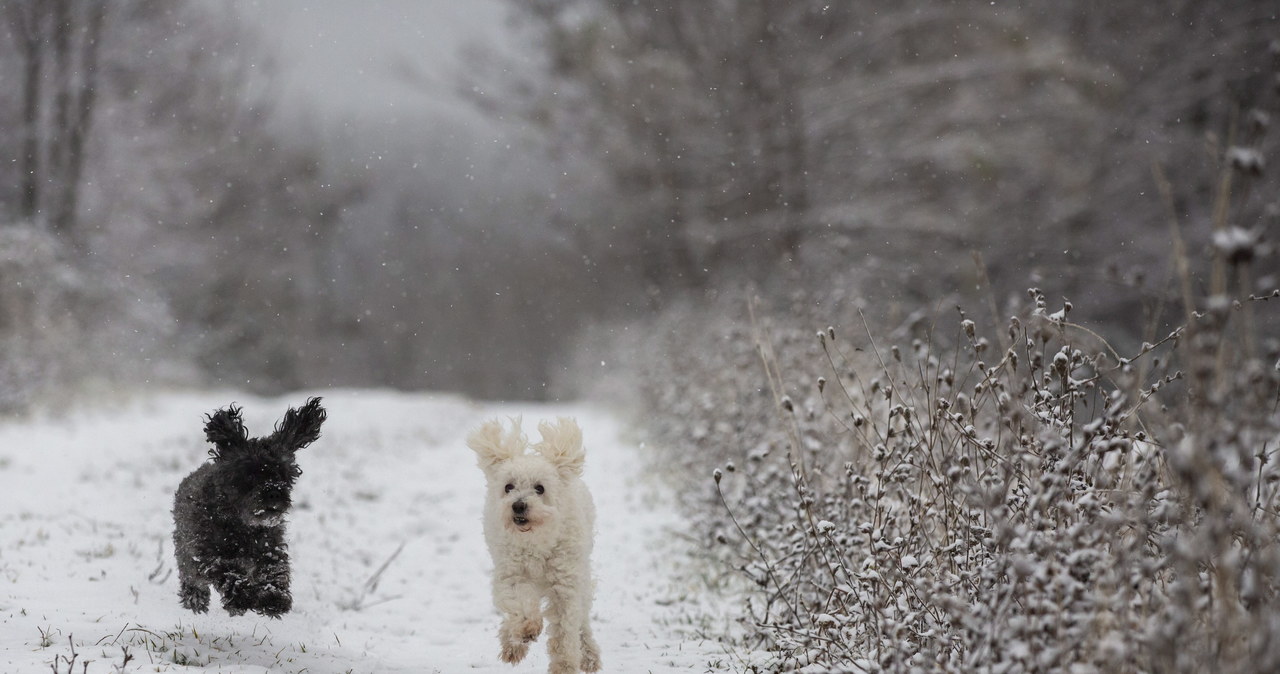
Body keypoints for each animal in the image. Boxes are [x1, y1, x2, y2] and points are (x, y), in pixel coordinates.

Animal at [172, 399, 327, 619]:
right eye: (249, 474)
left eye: (282, 473)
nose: (273, 493)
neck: (243, 526)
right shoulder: (209, 553)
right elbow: (228, 573)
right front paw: (243, 598)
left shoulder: (270, 545)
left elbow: (274, 569)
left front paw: (273, 598)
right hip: (186, 553)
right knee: (192, 578)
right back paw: (195, 601)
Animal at [465, 419, 599, 670]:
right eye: (508, 487)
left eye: (540, 488)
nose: (518, 505)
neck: (536, 539)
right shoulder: (512, 575)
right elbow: (521, 602)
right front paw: (526, 628)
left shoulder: (565, 583)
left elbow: (565, 629)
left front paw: (565, 665)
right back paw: (512, 643)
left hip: (583, 578)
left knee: (582, 620)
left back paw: (589, 655)